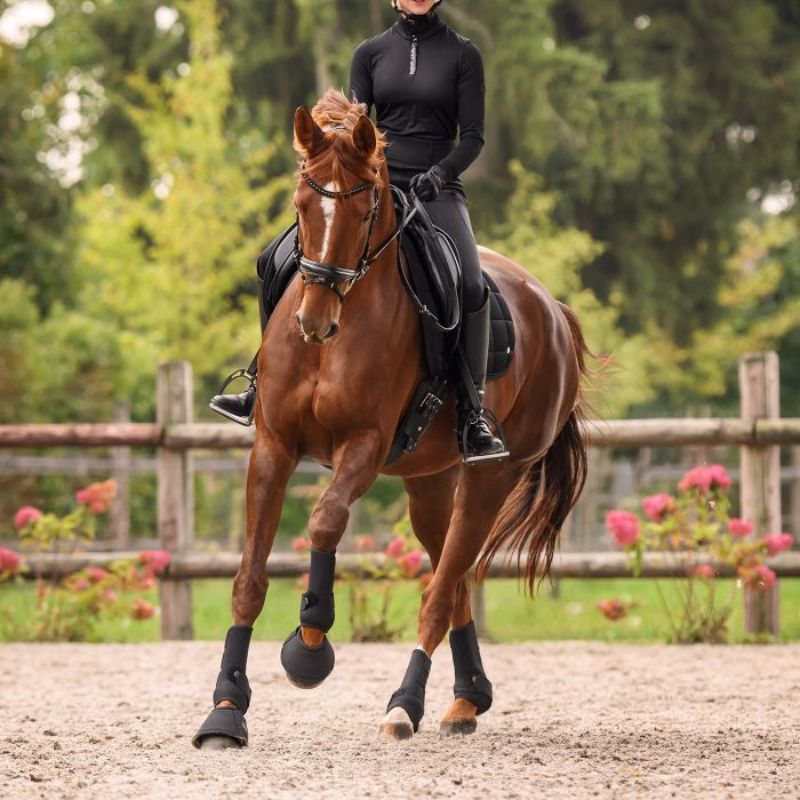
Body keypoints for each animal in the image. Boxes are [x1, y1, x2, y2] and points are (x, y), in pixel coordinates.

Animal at [193, 88, 590, 747]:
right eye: (302, 206)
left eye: (361, 214)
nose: (315, 321)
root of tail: (552, 307)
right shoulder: (273, 445)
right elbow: (248, 578)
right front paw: (225, 709)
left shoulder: (365, 445)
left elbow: (326, 520)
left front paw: (310, 645)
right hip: (429, 482)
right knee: (453, 582)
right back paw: (466, 699)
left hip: (490, 477)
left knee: (441, 589)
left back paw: (406, 704)